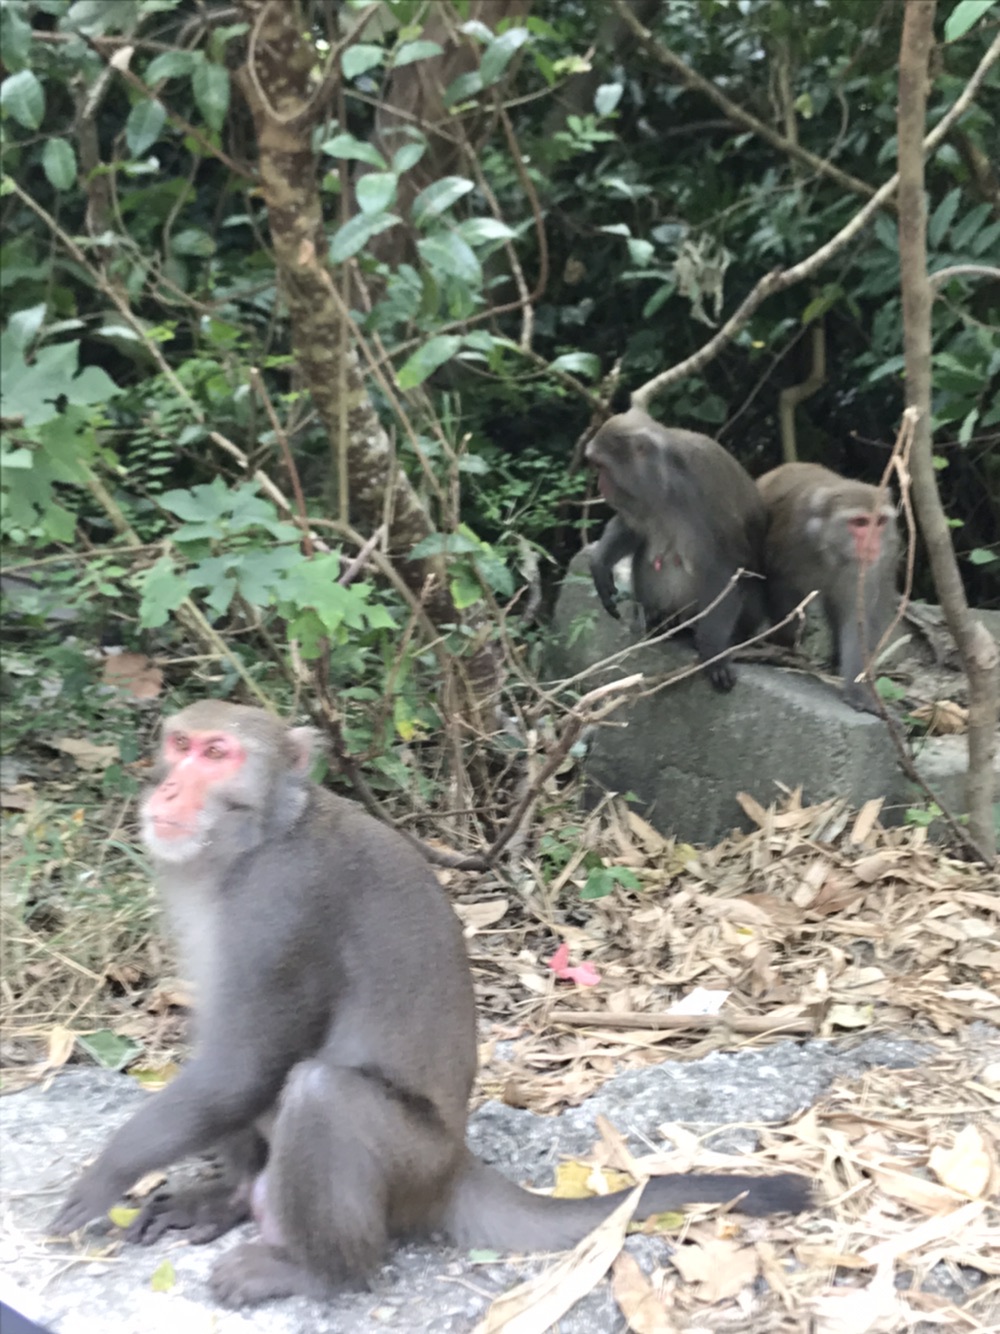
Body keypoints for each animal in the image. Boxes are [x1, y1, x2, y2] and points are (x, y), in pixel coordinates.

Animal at [51, 704, 816, 1307]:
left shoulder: (282, 903)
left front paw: (105, 1176)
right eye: (180, 744)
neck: (266, 833)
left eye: (218, 754)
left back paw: (321, 1274)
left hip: (411, 1168)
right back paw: (237, 1199)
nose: (170, 785)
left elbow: (241, 1065)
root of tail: (454, 1165)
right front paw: (212, 1189)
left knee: (321, 1092)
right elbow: (228, 1062)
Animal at [586, 408, 768, 693]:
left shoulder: (709, 499)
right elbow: (632, 530)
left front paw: (714, 652)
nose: (600, 486)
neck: (667, 483)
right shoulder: (641, 501)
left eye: (602, 467)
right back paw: (660, 621)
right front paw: (599, 564)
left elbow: (725, 569)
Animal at [757, 464, 901, 715]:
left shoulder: (872, 568)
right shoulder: (790, 541)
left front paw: (858, 690)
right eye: (861, 523)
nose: (872, 545)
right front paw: (784, 645)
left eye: (880, 521)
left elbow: (858, 618)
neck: (833, 553)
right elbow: (782, 588)